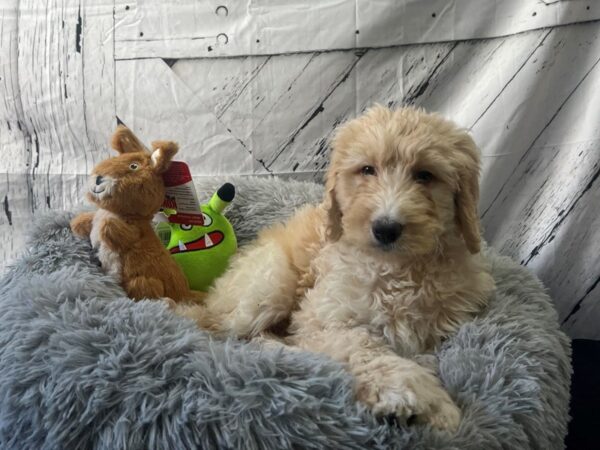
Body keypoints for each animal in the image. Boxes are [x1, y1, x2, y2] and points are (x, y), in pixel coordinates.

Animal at [180, 105, 494, 432]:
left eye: (425, 175)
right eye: (367, 170)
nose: (386, 228)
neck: (395, 269)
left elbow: (425, 355)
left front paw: (437, 407)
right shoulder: (320, 317)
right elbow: (359, 344)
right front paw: (416, 393)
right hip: (270, 284)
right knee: (227, 333)